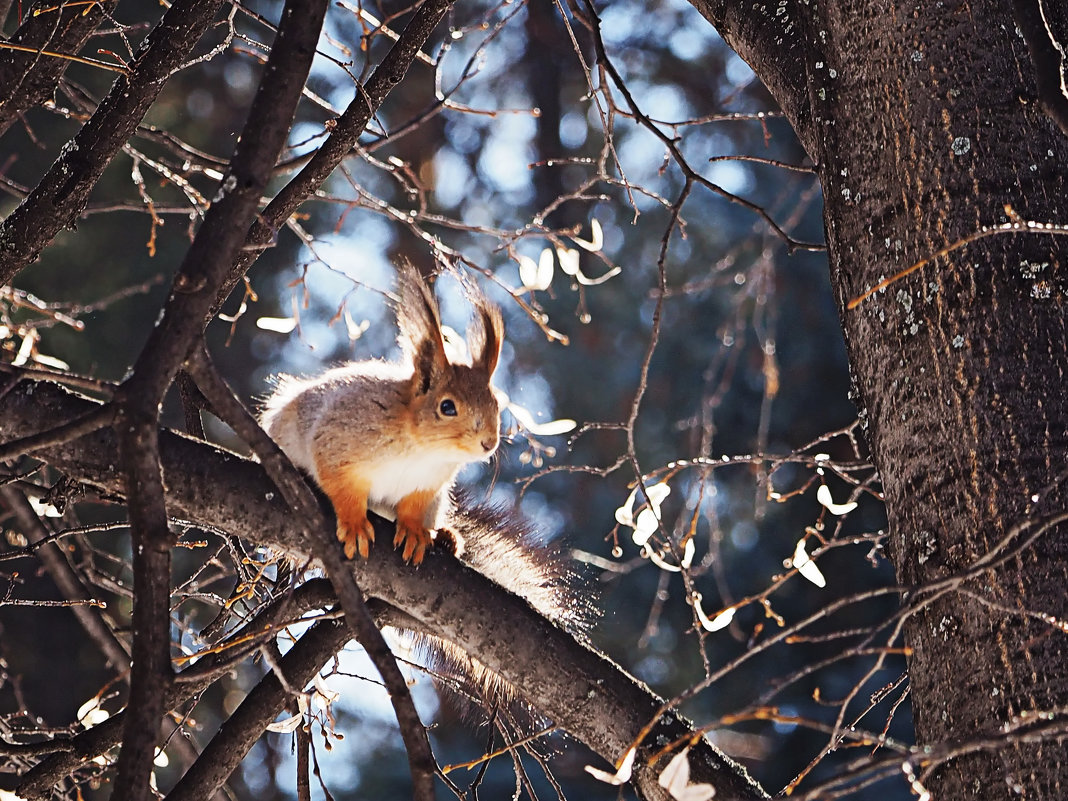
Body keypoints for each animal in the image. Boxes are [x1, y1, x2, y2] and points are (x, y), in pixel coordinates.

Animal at [260, 263, 506, 563]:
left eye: (497, 404)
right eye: (447, 407)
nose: (489, 443)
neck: (423, 451)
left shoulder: (426, 486)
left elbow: (412, 508)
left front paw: (413, 530)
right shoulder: (336, 442)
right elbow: (342, 487)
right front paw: (354, 524)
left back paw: (446, 537)